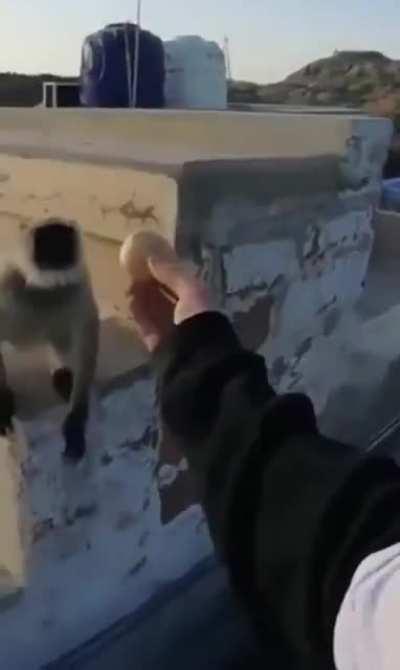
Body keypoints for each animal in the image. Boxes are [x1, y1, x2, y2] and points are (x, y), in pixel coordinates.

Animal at [0, 217, 99, 462]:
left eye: (63, 240)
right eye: (47, 241)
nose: (58, 253)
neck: (44, 289)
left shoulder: (80, 282)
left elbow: (86, 336)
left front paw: (75, 422)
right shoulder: (6, 282)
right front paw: (2, 404)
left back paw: (63, 375)